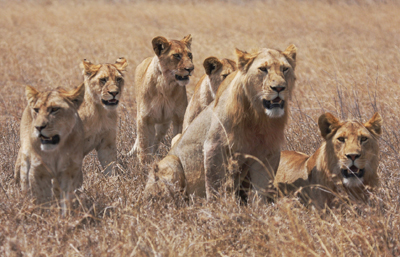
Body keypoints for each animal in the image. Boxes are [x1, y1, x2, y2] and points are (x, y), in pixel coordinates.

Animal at [129, 34, 195, 162]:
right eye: (177, 55)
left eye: (189, 55)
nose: (191, 69)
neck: (165, 85)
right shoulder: (144, 118)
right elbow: (143, 144)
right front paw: (144, 164)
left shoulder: (179, 118)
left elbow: (178, 138)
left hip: (163, 124)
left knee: (156, 140)